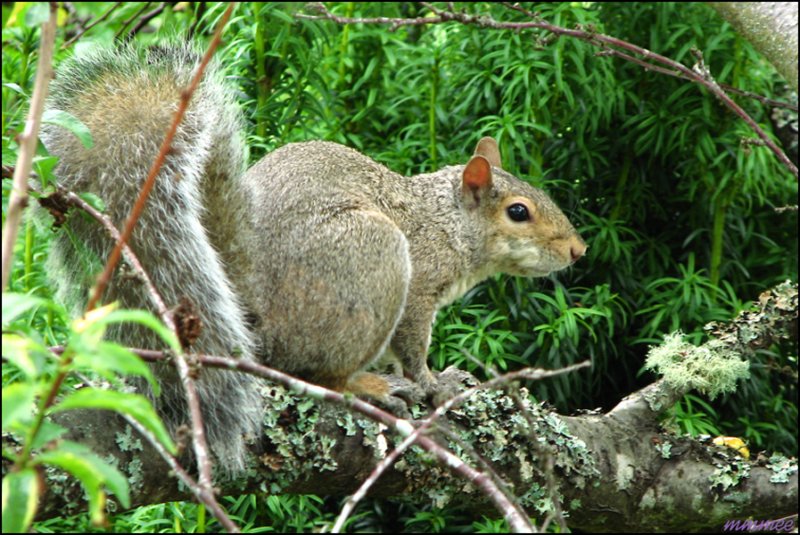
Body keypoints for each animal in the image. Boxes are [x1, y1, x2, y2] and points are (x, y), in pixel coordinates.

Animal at [39, 43, 586, 474]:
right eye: (519, 212)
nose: (577, 249)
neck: (445, 220)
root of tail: (255, 312)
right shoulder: (420, 285)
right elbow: (412, 349)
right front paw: (437, 383)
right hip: (374, 258)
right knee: (321, 375)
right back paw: (369, 384)